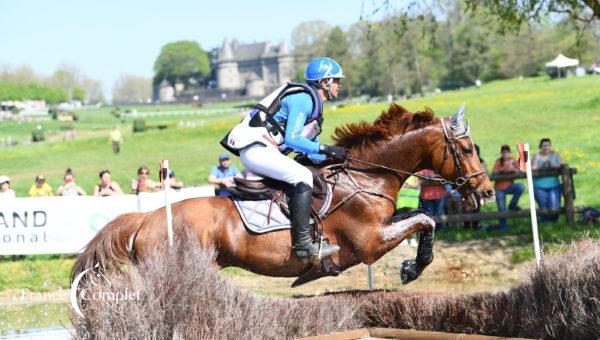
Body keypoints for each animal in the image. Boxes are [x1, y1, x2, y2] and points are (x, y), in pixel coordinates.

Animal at [72, 103, 494, 286]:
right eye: (467, 148)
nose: (487, 191)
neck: (366, 175)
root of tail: (145, 219)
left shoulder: (384, 225)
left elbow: (424, 218)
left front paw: (413, 265)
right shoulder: (370, 243)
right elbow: (425, 219)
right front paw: (413, 269)